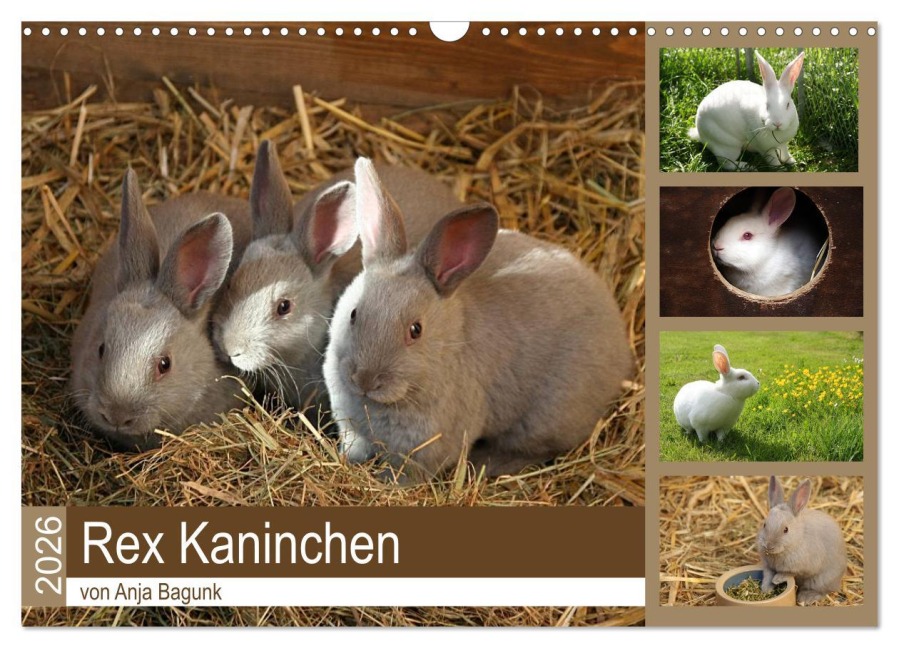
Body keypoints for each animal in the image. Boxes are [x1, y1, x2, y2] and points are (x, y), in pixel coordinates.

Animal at [322, 158, 634, 480]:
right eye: (354, 314)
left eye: (416, 330)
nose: (365, 379)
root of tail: (621, 350)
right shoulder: (353, 432)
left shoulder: (422, 454)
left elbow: (402, 475)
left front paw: (384, 482)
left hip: (546, 420)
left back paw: (486, 463)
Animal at [758, 477, 847, 605]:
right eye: (764, 525)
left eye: (786, 530)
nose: (768, 546)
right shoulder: (768, 566)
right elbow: (768, 576)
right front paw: (766, 589)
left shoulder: (804, 567)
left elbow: (790, 573)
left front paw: (777, 579)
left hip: (820, 580)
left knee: (823, 591)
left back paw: (805, 598)